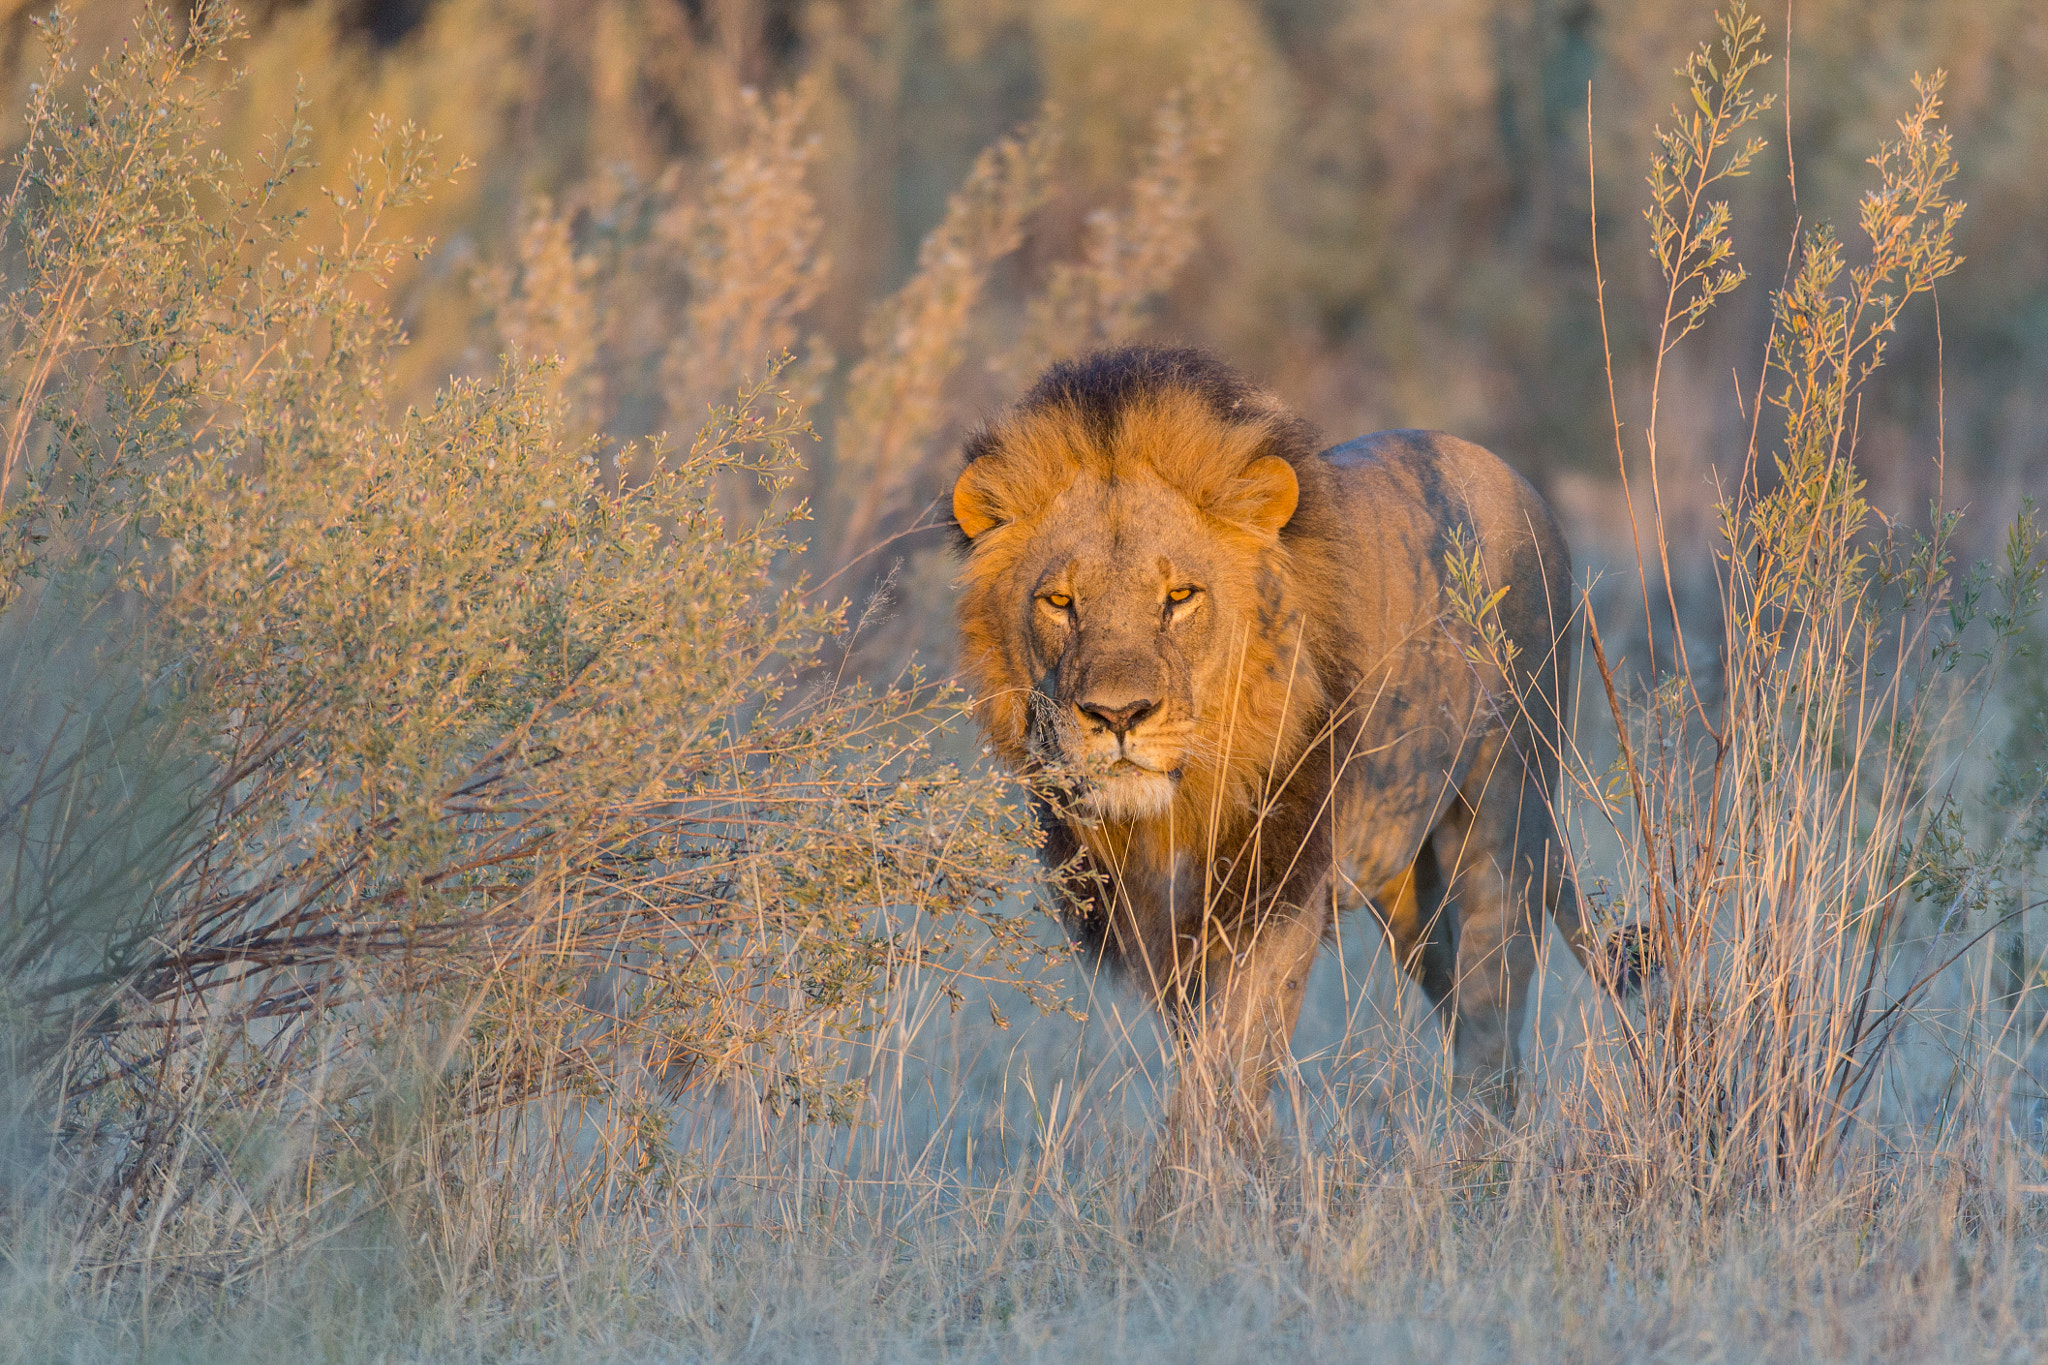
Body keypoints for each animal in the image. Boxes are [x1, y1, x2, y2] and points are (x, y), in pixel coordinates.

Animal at [950, 343, 1622, 1146]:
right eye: (1059, 601)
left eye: (1180, 597)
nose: (1118, 714)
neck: (1179, 807)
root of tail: (1506, 470)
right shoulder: (1160, 922)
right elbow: (1207, 1058)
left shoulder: (1278, 893)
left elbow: (1230, 1060)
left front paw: (1205, 1175)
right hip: (1408, 887)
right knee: (1461, 995)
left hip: (1507, 806)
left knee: (1495, 997)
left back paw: (1482, 1146)